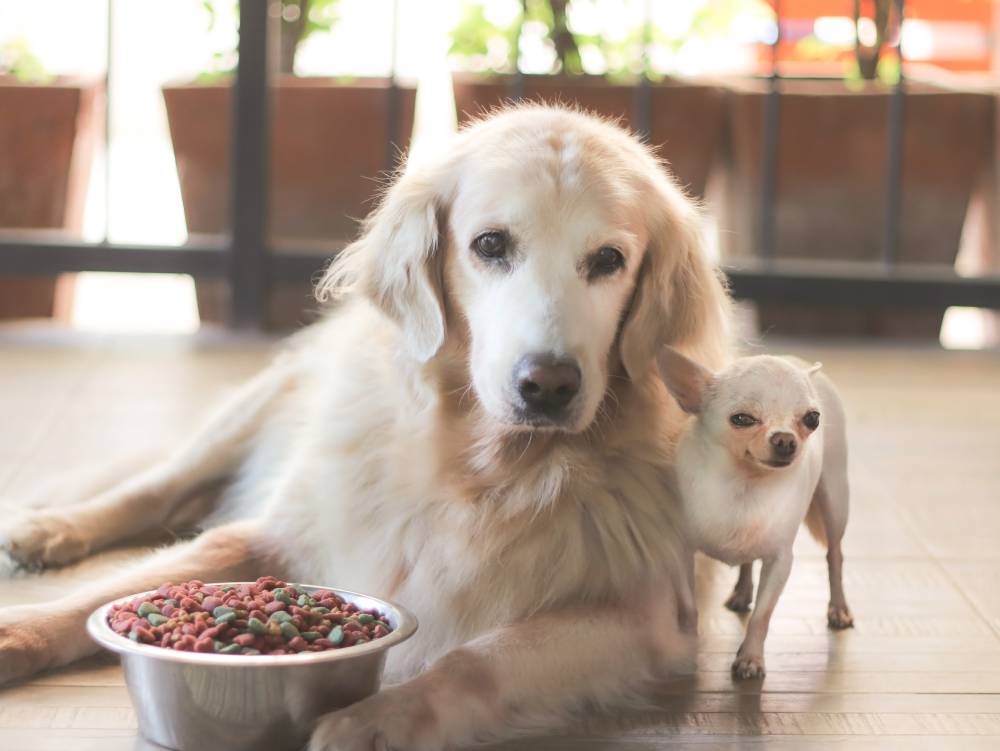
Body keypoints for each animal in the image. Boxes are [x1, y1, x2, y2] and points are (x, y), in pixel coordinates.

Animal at [3, 104, 732, 748]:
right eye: (490, 245)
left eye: (608, 260)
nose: (547, 385)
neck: (481, 469)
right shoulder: (282, 531)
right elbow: (144, 575)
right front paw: (20, 630)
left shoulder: (647, 617)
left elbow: (479, 657)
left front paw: (378, 718)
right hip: (254, 410)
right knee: (156, 487)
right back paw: (47, 529)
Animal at [656, 346, 852, 680]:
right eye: (742, 419)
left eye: (812, 419)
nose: (785, 439)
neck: (744, 488)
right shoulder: (681, 553)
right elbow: (689, 607)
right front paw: (689, 654)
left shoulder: (780, 561)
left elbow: (762, 615)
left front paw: (750, 659)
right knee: (748, 560)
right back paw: (741, 592)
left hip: (835, 501)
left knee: (835, 555)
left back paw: (838, 608)